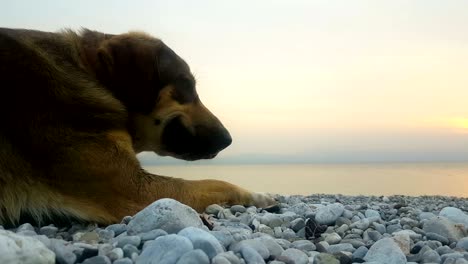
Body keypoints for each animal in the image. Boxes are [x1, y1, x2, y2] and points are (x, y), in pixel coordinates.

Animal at [0, 27, 274, 226]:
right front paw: (257, 195)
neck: (93, 76)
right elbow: (217, 182)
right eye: (186, 84)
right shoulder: (134, 189)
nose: (228, 139)